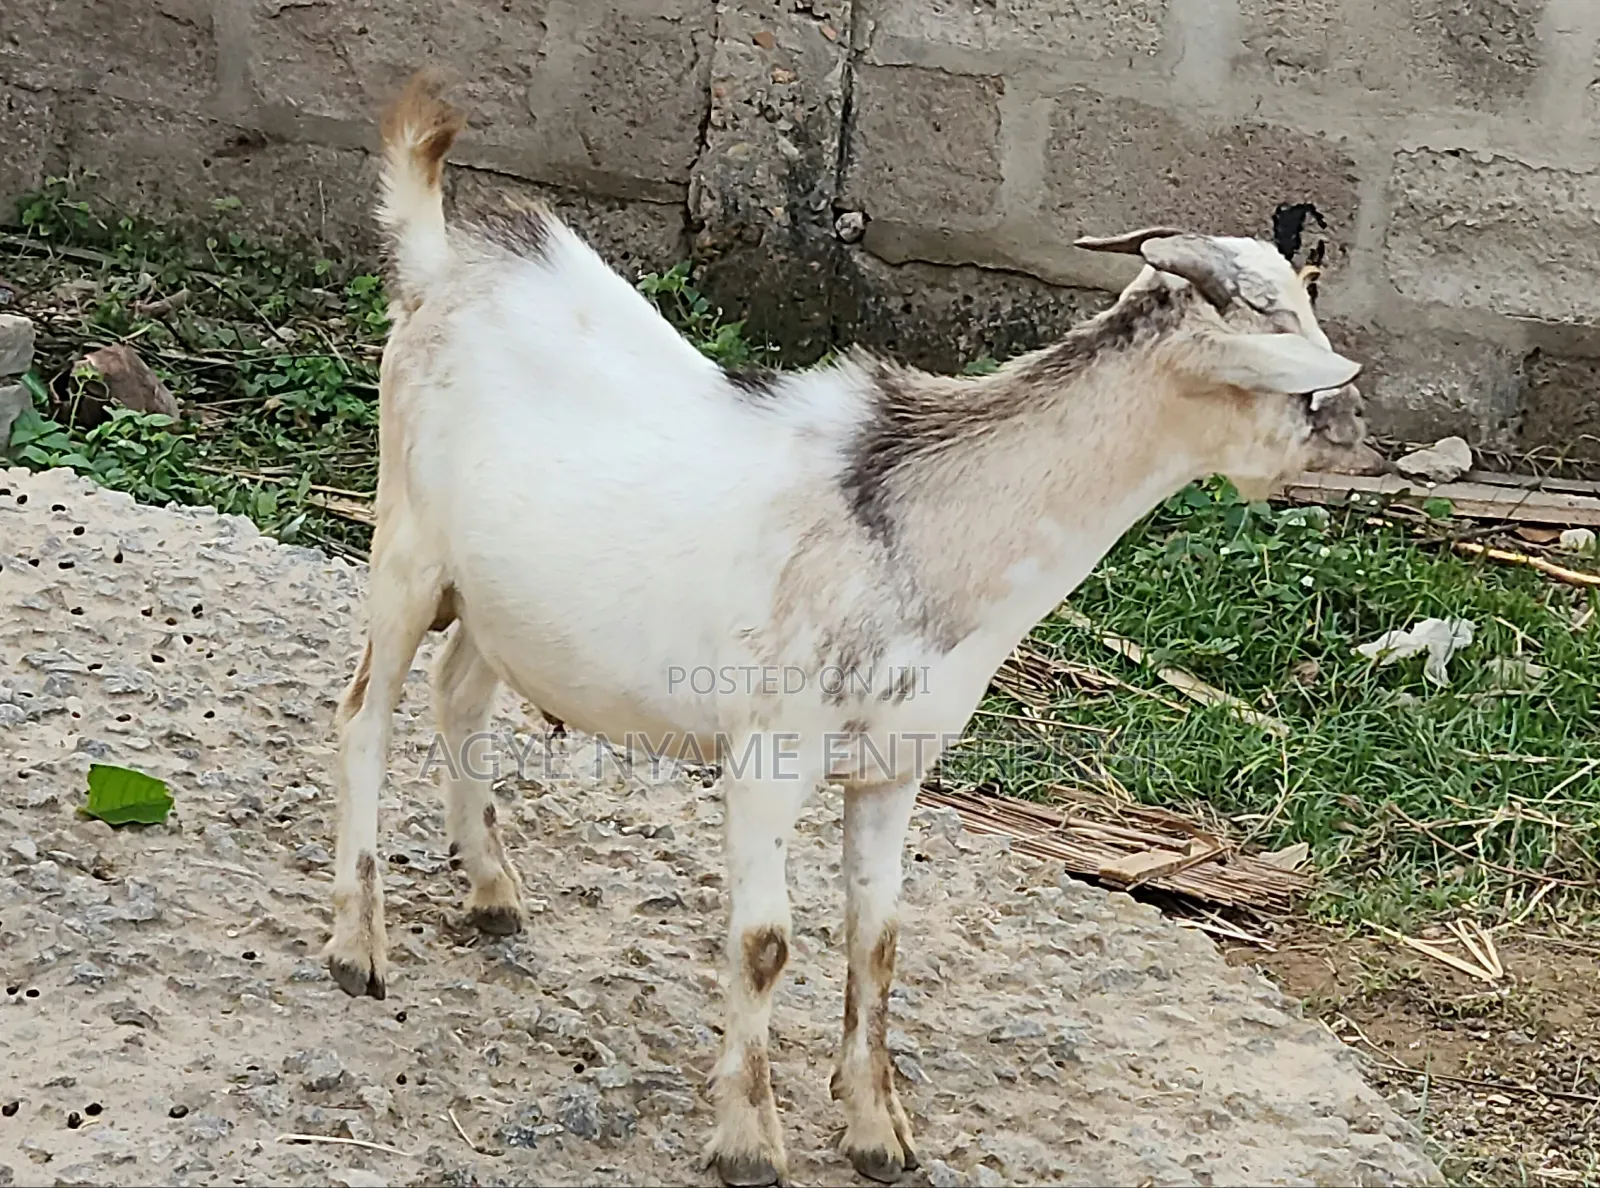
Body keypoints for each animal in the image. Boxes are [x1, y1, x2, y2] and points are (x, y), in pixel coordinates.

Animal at [324, 69, 1365, 1188]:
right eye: (1287, 366)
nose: (1357, 440)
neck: (920, 531)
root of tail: (440, 258)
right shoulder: (769, 754)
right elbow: (765, 942)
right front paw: (749, 1139)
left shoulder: (895, 767)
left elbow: (879, 941)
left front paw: (878, 1131)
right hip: (405, 549)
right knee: (363, 716)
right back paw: (356, 949)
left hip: (503, 596)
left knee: (460, 694)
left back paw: (492, 892)